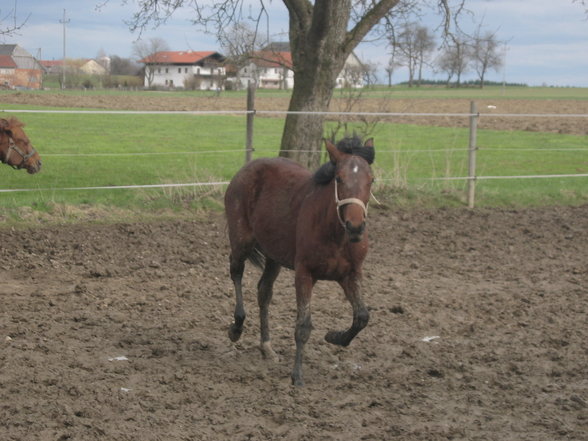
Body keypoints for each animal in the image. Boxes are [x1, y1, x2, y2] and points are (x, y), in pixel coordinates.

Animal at [225, 136, 376, 384]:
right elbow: (303, 325)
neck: (334, 234)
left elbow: (362, 316)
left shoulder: (351, 274)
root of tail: (245, 169)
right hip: (241, 240)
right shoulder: (304, 274)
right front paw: (297, 376)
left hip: (273, 255)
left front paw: (334, 337)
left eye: (371, 179)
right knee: (236, 271)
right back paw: (236, 327)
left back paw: (266, 347)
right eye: (339, 178)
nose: (355, 227)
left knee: (263, 291)